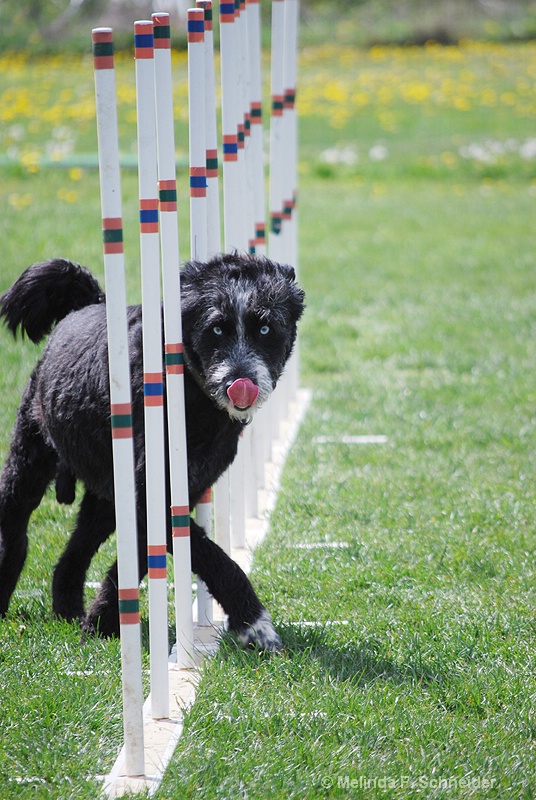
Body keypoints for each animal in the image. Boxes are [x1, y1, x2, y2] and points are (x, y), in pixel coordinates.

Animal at [0, 255, 304, 648]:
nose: (240, 381)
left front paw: (101, 621)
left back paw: (69, 610)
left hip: (105, 501)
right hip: (28, 461)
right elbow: (214, 557)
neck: (192, 391)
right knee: (15, 532)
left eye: (266, 328)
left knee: (75, 552)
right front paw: (254, 623)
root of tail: (87, 303)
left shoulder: (174, 495)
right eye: (216, 330)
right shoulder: (152, 497)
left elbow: (138, 561)